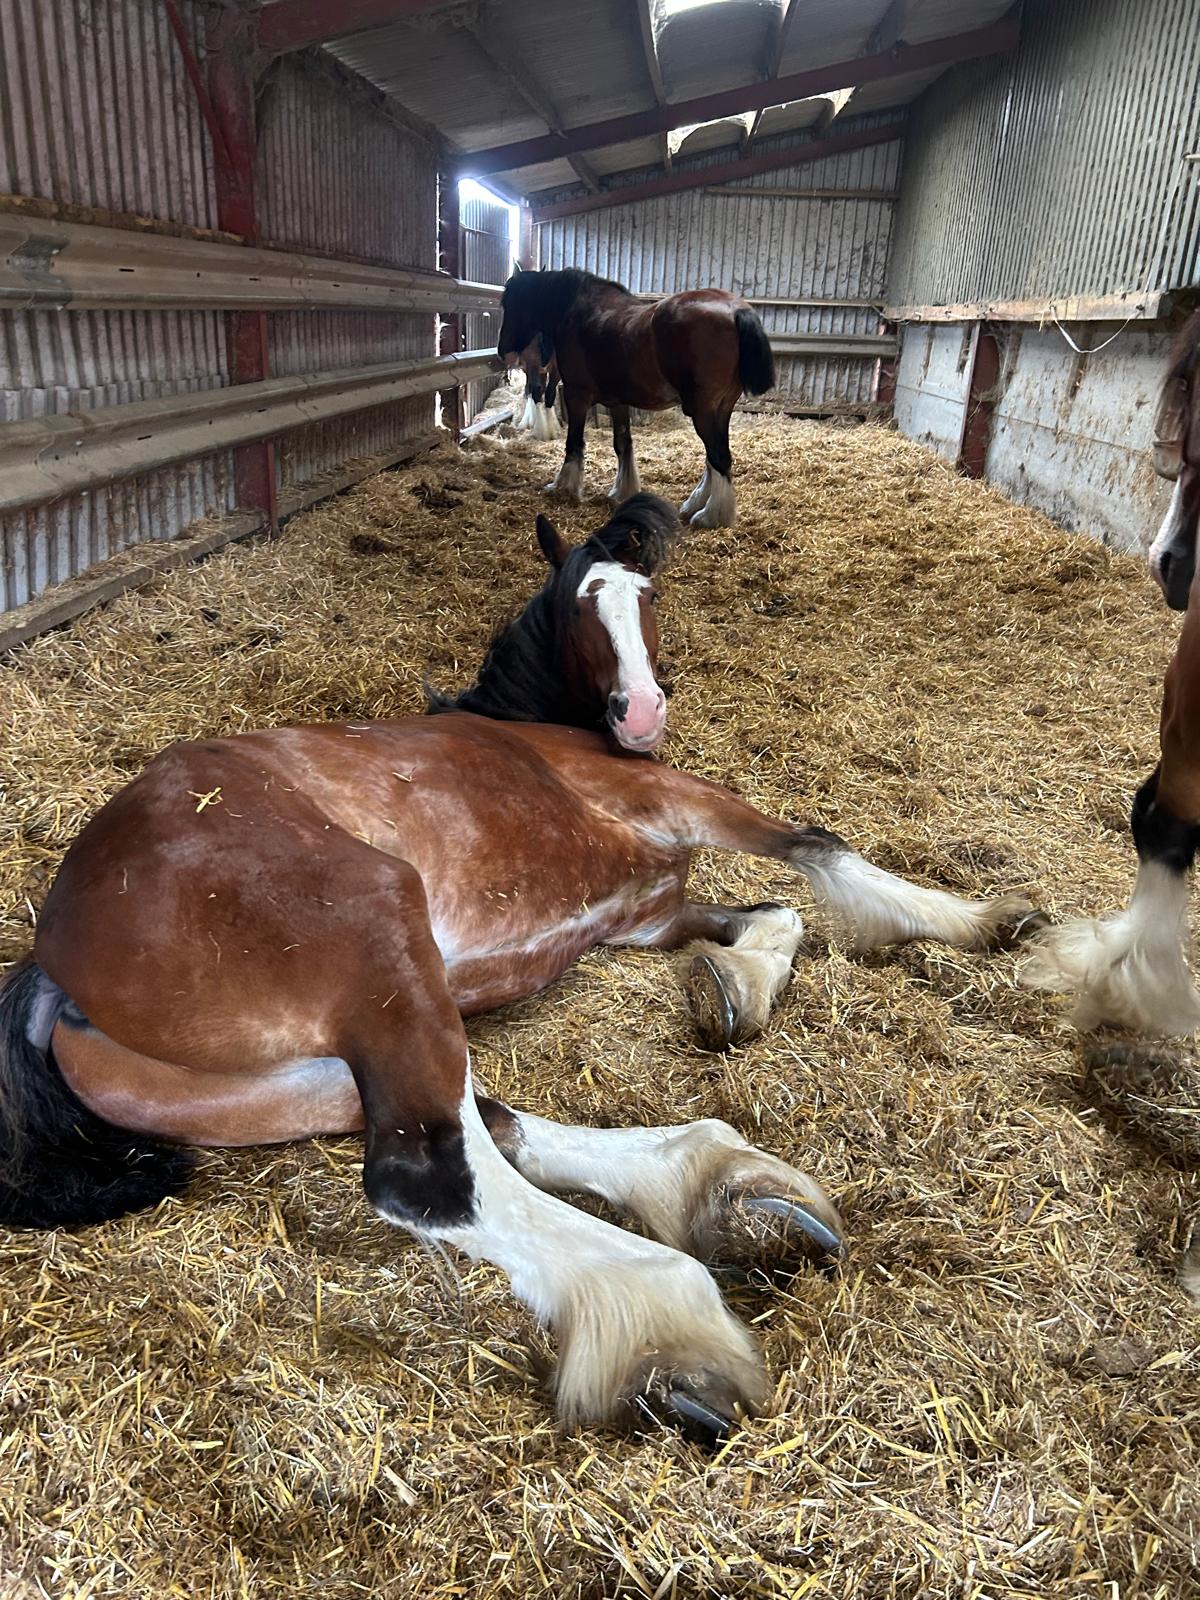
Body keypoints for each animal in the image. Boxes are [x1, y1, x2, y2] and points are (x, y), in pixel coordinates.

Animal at [0, 492, 1043, 1441]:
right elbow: (818, 847)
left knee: (483, 1124)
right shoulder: (677, 801)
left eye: (647, 594)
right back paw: (664, 1321)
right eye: (583, 604)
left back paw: (720, 1191)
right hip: (380, 922)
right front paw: (990, 921)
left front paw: (732, 988)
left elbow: (776, 914)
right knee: (425, 1173)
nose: (641, 715)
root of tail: (55, 965)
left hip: (311, 1060)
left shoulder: (647, 918)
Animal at [496, 266, 776, 529]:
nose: (503, 351)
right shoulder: (618, 404)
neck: (578, 312)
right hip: (721, 409)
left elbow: (574, 443)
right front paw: (623, 491)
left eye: (508, 302)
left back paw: (711, 515)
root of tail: (735, 310)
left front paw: (564, 487)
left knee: (718, 456)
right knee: (714, 458)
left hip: (704, 411)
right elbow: (623, 445)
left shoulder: (577, 397)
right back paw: (695, 504)